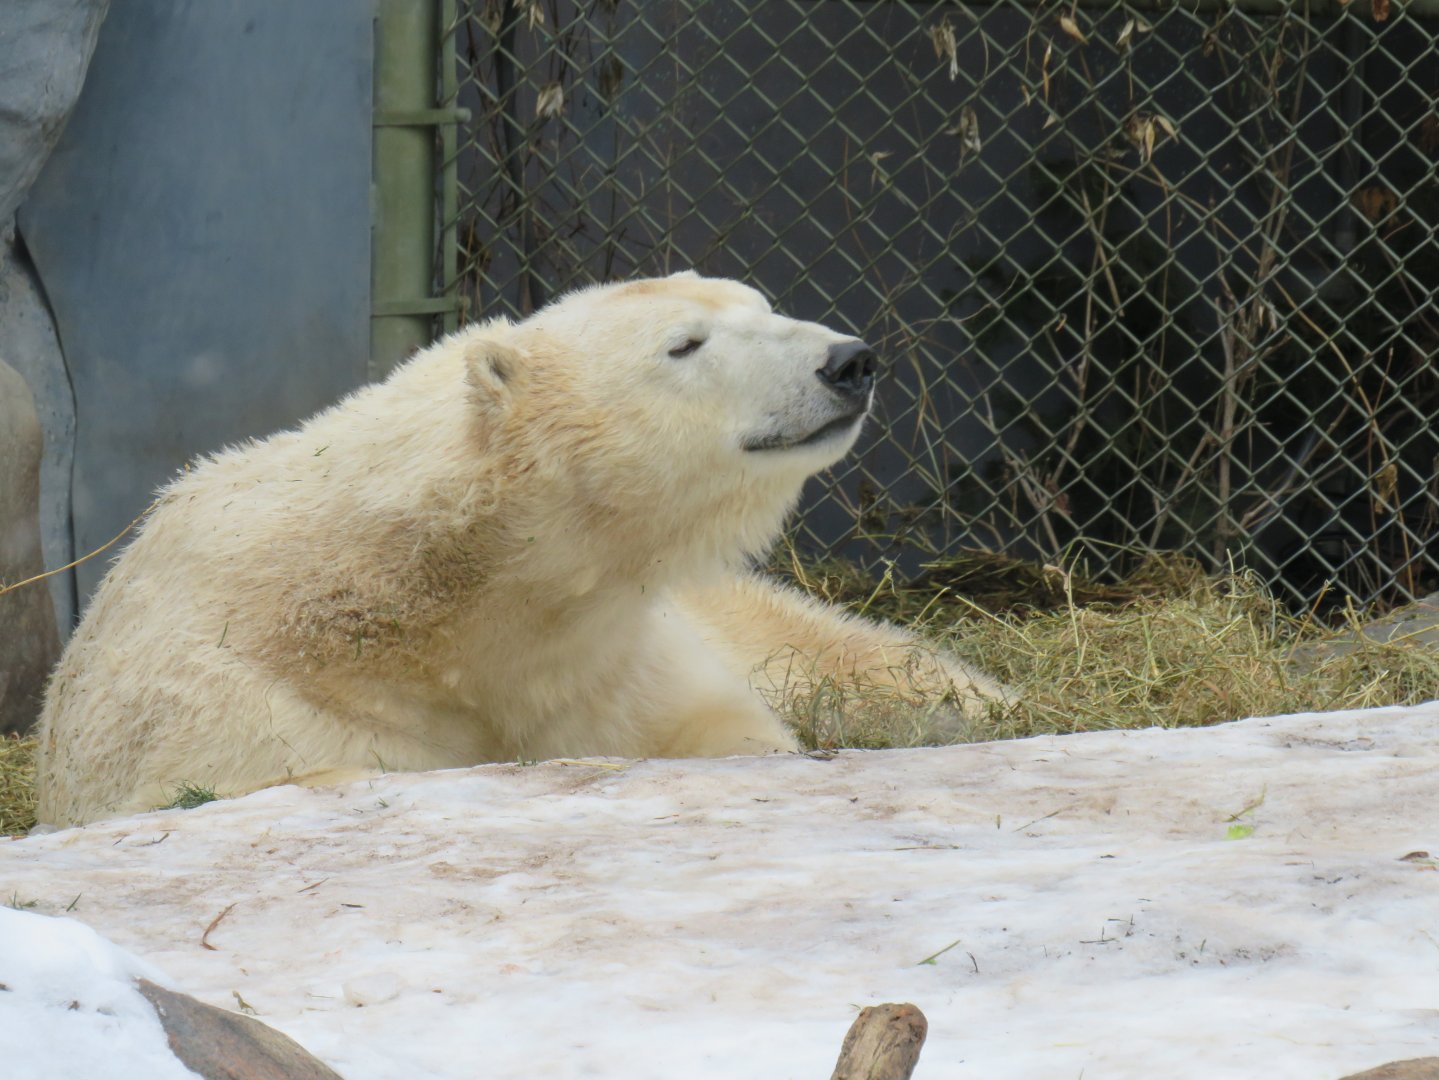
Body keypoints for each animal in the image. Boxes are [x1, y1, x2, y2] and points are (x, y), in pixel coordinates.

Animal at [36, 273, 1007, 826]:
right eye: (683, 345)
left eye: (763, 307)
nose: (848, 361)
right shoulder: (239, 717)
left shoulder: (599, 654)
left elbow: (713, 723)